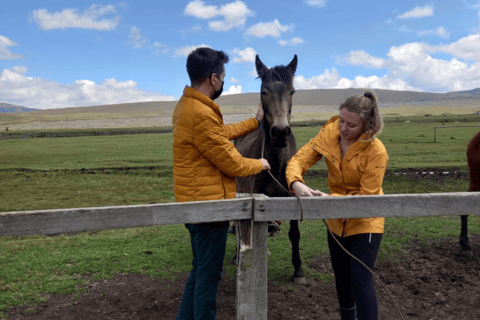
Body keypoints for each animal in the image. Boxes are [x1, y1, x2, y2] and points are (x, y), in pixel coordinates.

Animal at [234, 53, 306, 284]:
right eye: (263, 92)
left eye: (292, 91)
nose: (280, 133)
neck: (277, 165)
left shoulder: (291, 197)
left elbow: (295, 234)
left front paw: (298, 270)